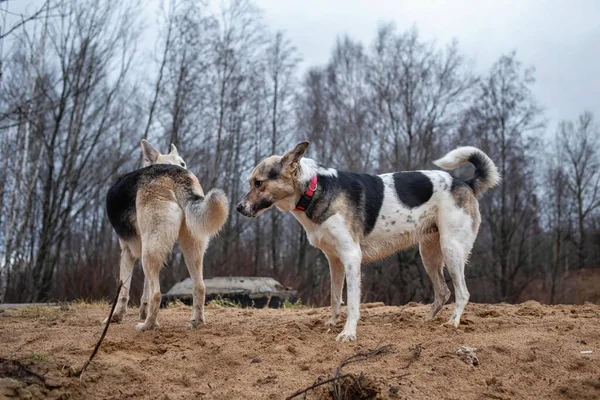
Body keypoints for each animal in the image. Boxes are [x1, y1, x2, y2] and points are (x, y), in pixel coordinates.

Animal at [237, 142, 500, 342]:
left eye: (258, 182)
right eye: (251, 182)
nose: (239, 208)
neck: (313, 189)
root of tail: (465, 183)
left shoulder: (352, 257)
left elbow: (353, 302)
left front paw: (348, 333)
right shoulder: (334, 261)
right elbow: (335, 297)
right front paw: (332, 323)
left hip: (451, 249)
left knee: (462, 292)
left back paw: (452, 322)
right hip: (429, 254)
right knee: (443, 292)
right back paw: (426, 321)